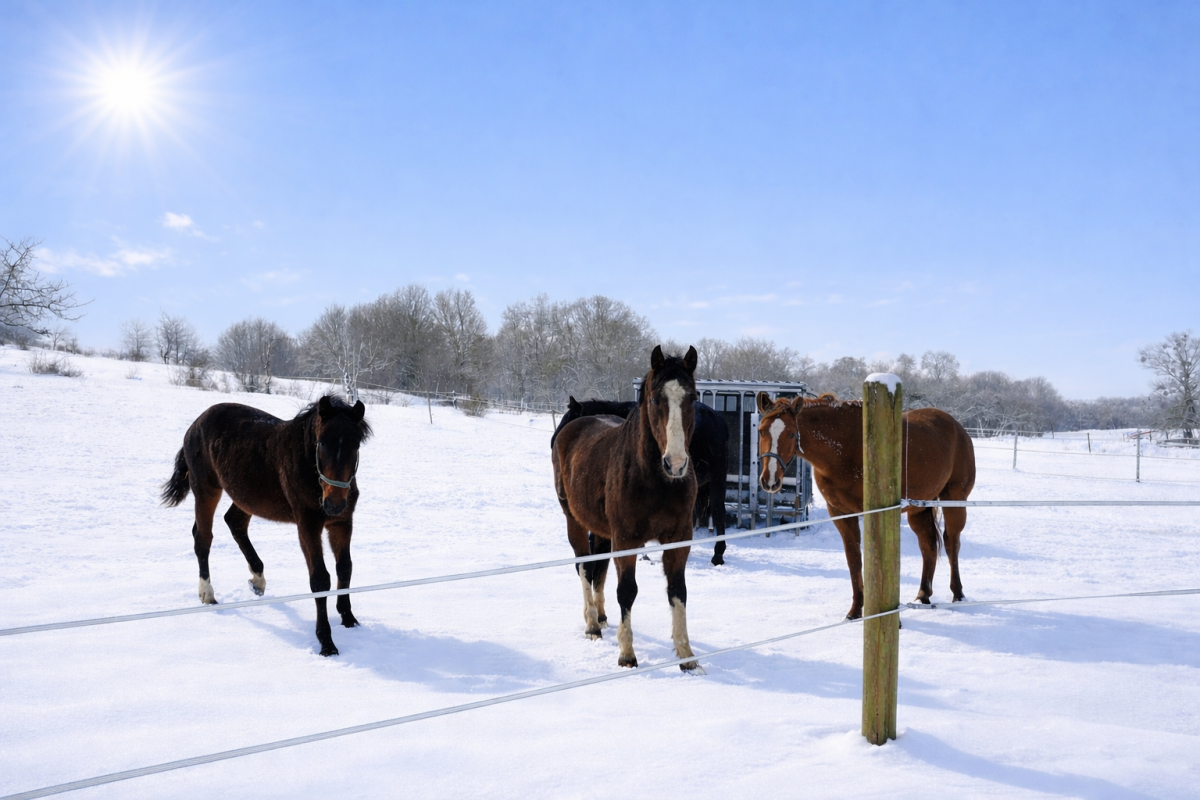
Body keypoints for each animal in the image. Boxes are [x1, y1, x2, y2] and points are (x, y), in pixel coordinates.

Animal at [161, 396, 372, 657]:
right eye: (322, 443)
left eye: (356, 445)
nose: (334, 503)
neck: (306, 463)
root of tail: (196, 424)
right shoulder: (308, 525)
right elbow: (320, 579)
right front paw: (327, 643)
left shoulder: (342, 523)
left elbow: (345, 568)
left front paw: (349, 619)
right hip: (206, 489)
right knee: (203, 539)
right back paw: (208, 594)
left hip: (245, 495)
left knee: (234, 523)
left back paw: (258, 579)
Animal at [552, 345, 701, 670]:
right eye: (656, 399)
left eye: (693, 398)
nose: (676, 464)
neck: (656, 480)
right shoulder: (626, 540)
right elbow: (627, 591)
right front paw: (627, 654)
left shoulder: (679, 540)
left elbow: (678, 591)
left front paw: (686, 655)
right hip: (574, 521)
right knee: (584, 566)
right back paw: (592, 625)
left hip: (600, 530)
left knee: (598, 569)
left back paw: (601, 616)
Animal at [756, 392, 975, 620]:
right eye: (761, 431)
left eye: (791, 434)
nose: (770, 480)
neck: (844, 448)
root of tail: (957, 427)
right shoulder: (841, 514)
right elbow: (854, 560)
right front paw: (855, 611)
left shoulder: (874, 513)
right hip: (919, 508)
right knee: (928, 545)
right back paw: (922, 596)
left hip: (954, 499)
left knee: (951, 543)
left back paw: (958, 595)